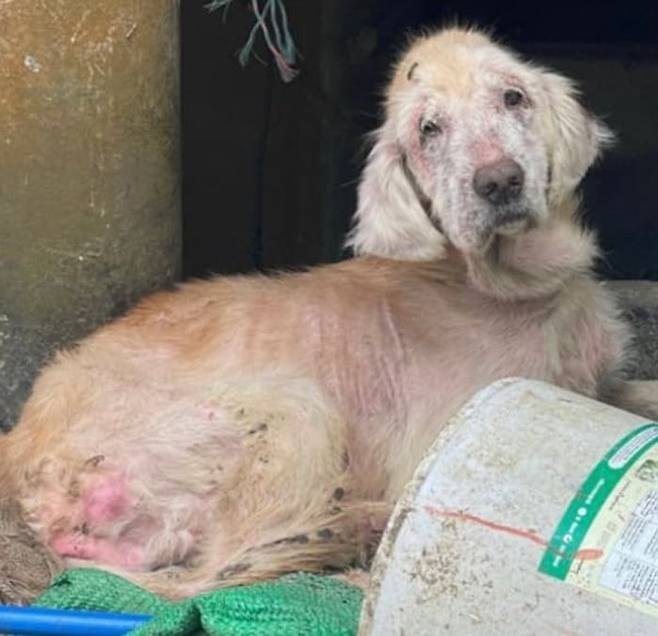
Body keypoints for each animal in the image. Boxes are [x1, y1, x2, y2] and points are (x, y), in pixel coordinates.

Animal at [1, 26, 654, 599]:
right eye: (428, 128)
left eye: (513, 96)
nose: (498, 182)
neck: (518, 286)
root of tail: (19, 450)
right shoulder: (442, 437)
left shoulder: (599, 383)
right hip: (295, 410)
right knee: (204, 576)